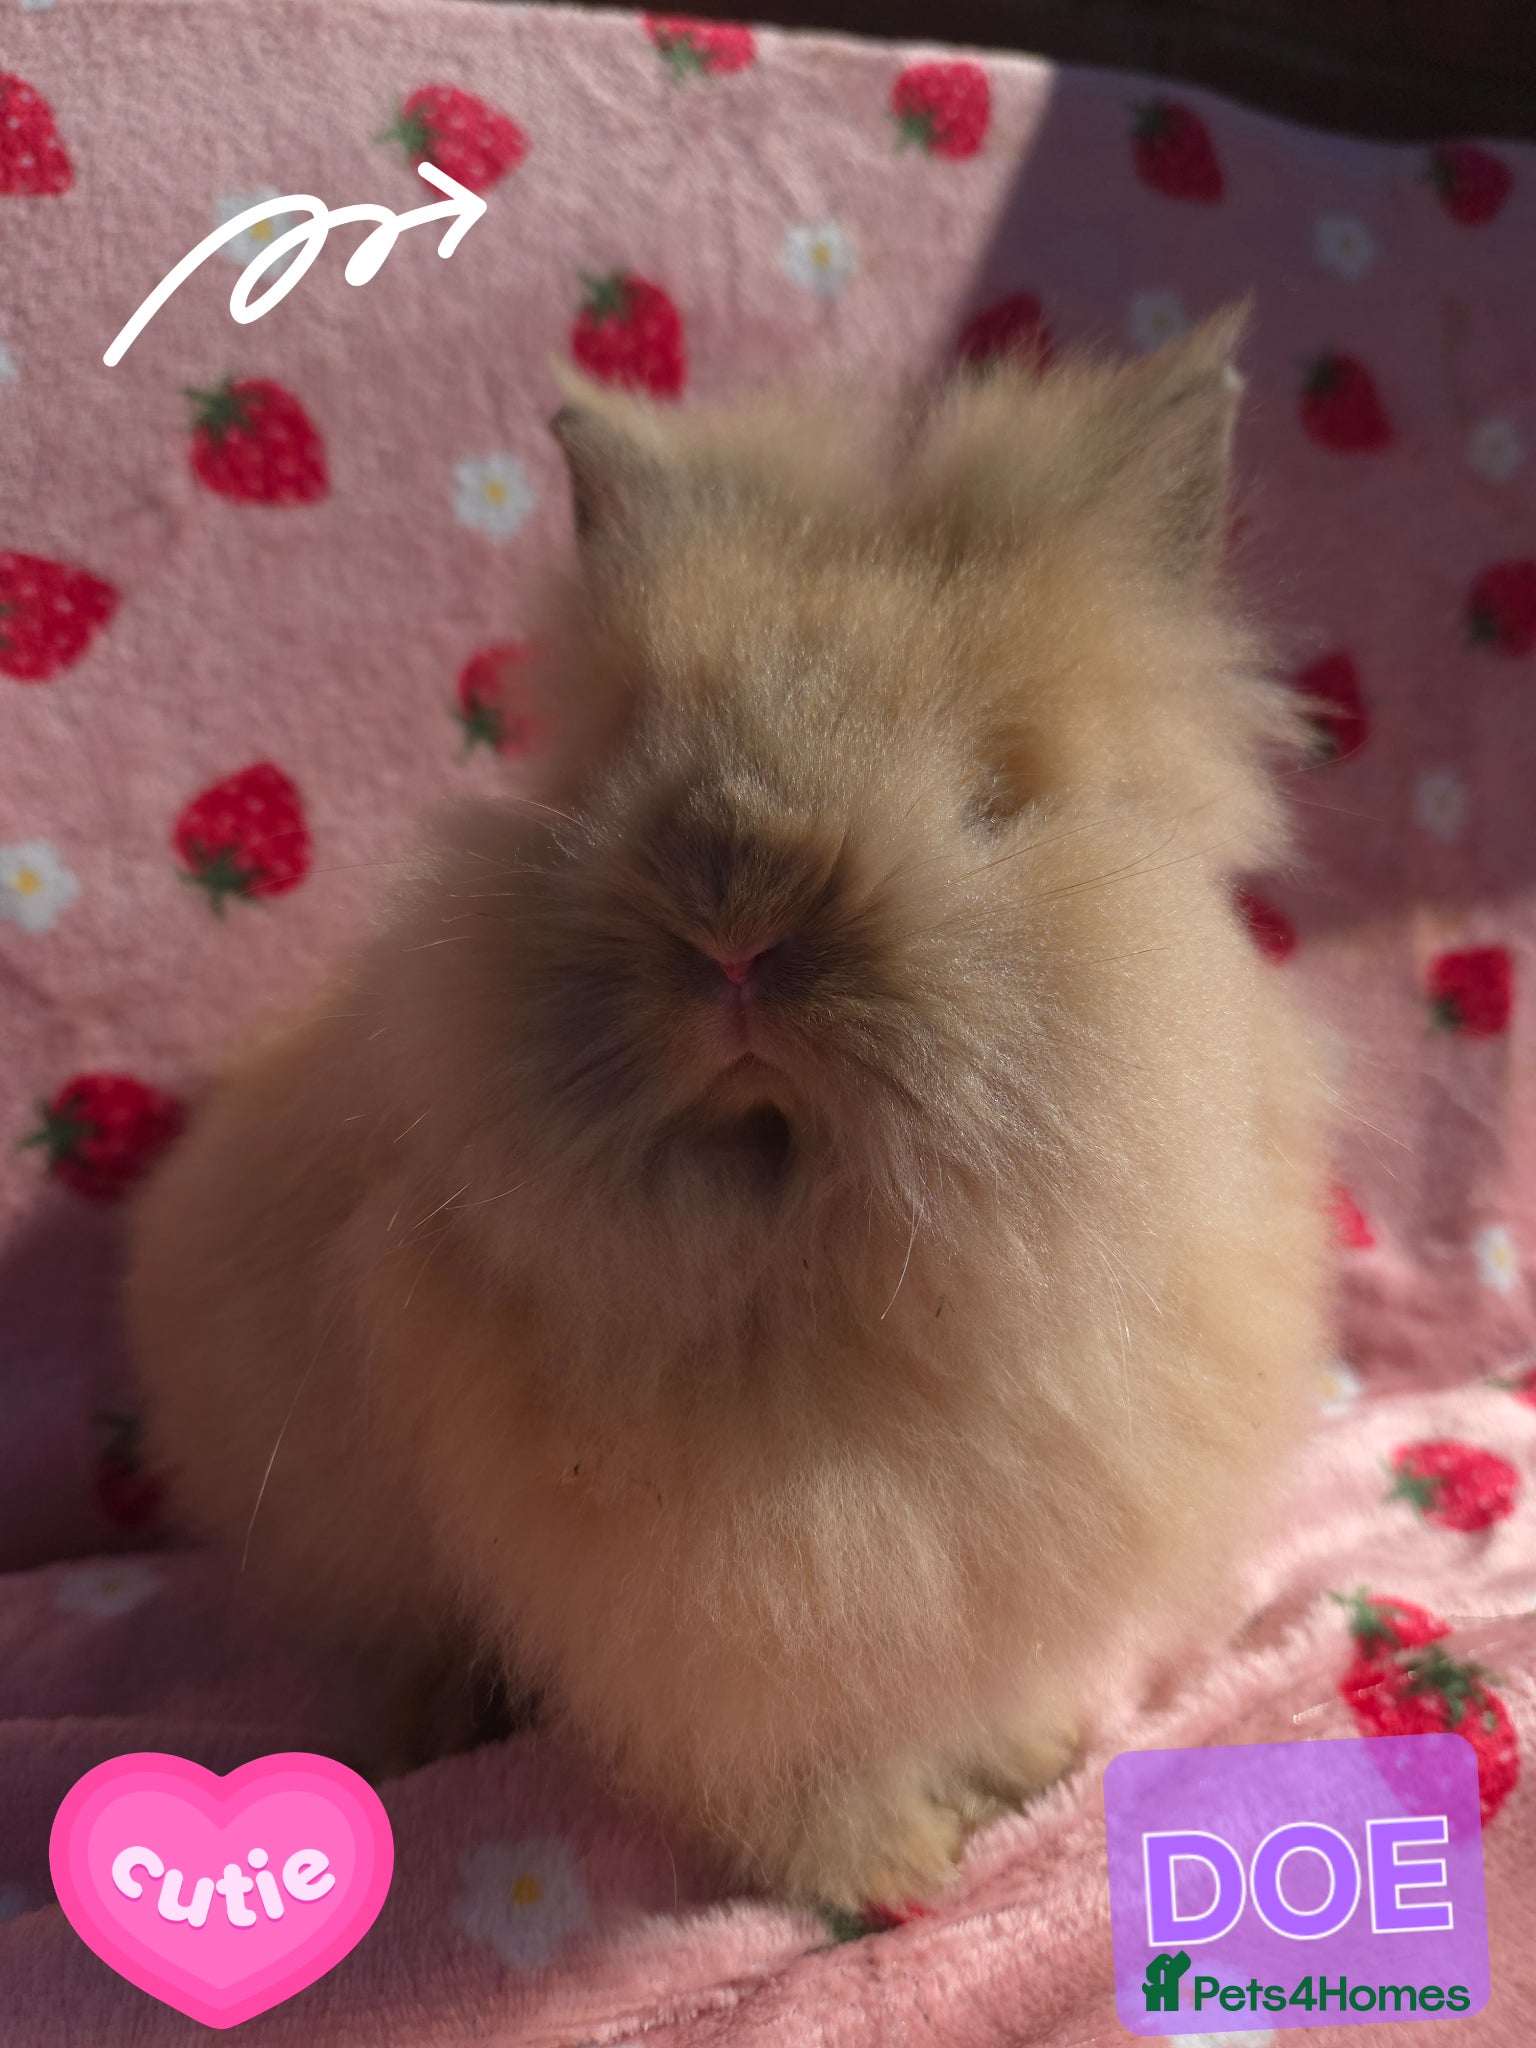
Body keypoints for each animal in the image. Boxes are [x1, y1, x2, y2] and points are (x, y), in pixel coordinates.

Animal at [125, 308, 1328, 1912]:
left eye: (1000, 794)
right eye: (626, 759)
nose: (740, 911)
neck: (815, 1273)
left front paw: (1027, 1764)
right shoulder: (728, 1631)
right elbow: (806, 1764)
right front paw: (885, 1876)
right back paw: (427, 1732)